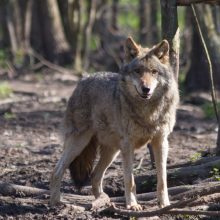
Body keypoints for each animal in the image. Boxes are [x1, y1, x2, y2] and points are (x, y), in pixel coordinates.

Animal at [49, 37, 179, 211]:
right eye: (137, 71)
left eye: (154, 72)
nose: (146, 89)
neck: (148, 111)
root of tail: (83, 79)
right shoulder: (128, 145)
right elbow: (130, 180)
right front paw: (132, 205)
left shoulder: (161, 142)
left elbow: (163, 179)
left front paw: (165, 204)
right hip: (80, 143)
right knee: (56, 171)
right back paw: (56, 203)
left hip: (112, 150)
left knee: (95, 176)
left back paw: (102, 201)